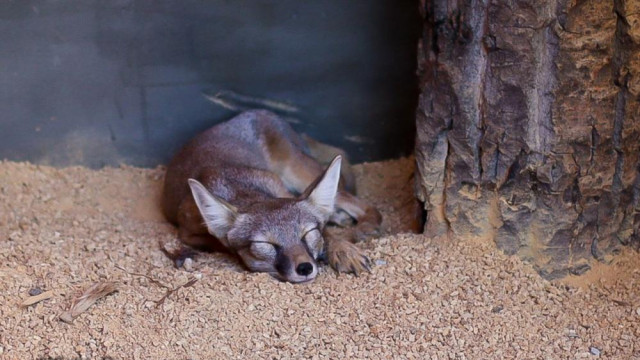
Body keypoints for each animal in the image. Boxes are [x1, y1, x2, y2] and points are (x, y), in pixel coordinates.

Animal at [162, 110, 380, 284]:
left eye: (307, 234)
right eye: (266, 244)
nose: (305, 267)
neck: (237, 186)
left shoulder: (283, 191)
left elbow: (325, 230)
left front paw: (343, 250)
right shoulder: (187, 232)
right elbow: (220, 243)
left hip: (299, 173)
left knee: (367, 207)